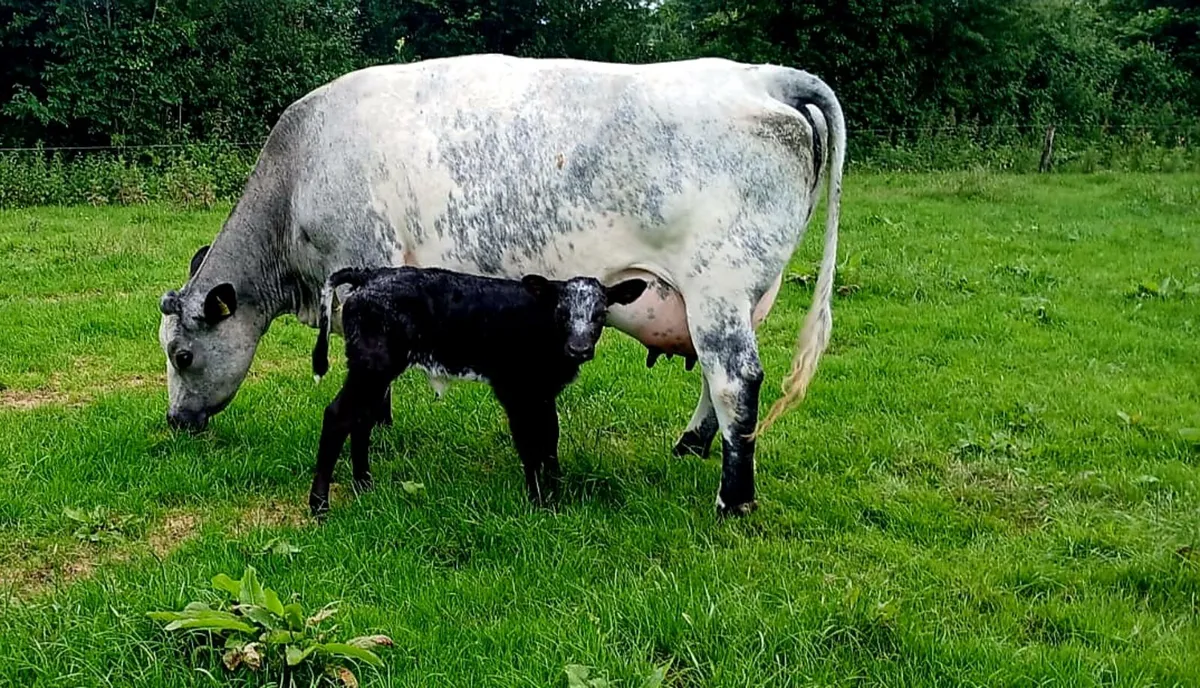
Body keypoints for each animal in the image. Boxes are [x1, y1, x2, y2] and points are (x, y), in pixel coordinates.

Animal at [306, 265, 648, 516]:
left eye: (600, 315)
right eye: (561, 312)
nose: (579, 349)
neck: (546, 333)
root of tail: (371, 274)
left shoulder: (543, 391)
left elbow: (550, 439)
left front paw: (556, 492)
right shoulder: (514, 388)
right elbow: (528, 443)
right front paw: (538, 502)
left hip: (375, 369)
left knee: (361, 419)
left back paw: (364, 485)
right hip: (372, 365)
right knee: (337, 415)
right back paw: (319, 505)